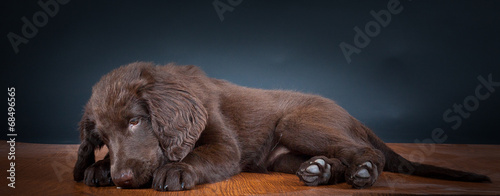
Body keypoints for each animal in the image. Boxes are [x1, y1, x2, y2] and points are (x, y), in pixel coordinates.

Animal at [72, 62, 490, 191]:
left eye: (136, 121)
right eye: (102, 138)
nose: (122, 179)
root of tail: (352, 115)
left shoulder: (225, 147)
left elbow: (198, 155)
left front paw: (175, 170)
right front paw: (97, 168)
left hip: (296, 123)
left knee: (366, 152)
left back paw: (365, 171)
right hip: (281, 157)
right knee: (334, 158)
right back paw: (321, 170)